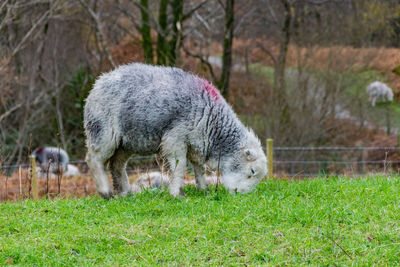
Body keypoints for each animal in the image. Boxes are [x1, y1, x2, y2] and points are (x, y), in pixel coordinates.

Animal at [83, 62, 266, 197]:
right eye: (252, 171)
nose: (240, 193)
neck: (213, 121)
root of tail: (98, 82)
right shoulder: (176, 137)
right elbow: (180, 165)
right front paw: (177, 193)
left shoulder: (196, 142)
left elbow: (198, 167)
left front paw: (203, 189)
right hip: (104, 130)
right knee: (93, 159)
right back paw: (105, 192)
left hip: (127, 142)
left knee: (117, 164)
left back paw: (125, 193)